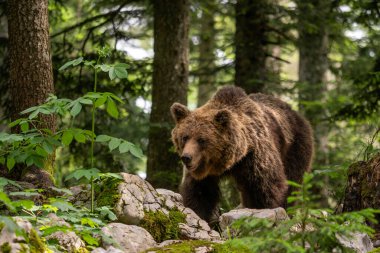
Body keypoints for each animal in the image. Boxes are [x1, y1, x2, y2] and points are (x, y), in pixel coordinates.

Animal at [171, 86, 314, 222]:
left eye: (201, 139)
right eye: (185, 137)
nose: (186, 157)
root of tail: (295, 112)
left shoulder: (255, 157)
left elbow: (265, 187)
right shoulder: (205, 173)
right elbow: (200, 192)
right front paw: (199, 214)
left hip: (295, 146)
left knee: (292, 182)